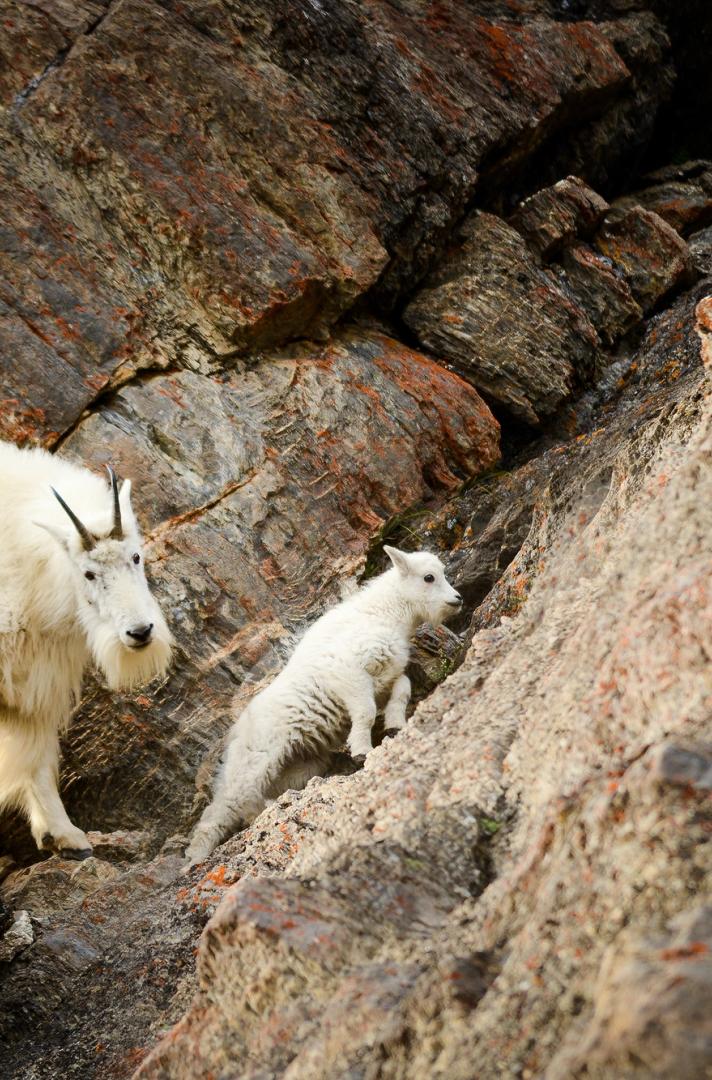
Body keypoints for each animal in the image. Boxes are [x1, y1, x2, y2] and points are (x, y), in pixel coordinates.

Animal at [0, 441, 172, 859]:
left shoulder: (36, 683)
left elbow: (38, 756)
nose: (140, 632)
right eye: (89, 573)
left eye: (136, 556)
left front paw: (65, 836)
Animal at [185, 547, 462, 865]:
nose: (457, 599)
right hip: (253, 760)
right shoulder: (348, 673)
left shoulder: (383, 677)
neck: (385, 614)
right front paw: (361, 750)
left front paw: (395, 724)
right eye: (429, 577)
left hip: (299, 766)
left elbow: (401, 689)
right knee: (221, 807)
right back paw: (195, 858)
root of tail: (237, 730)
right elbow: (366, 712)